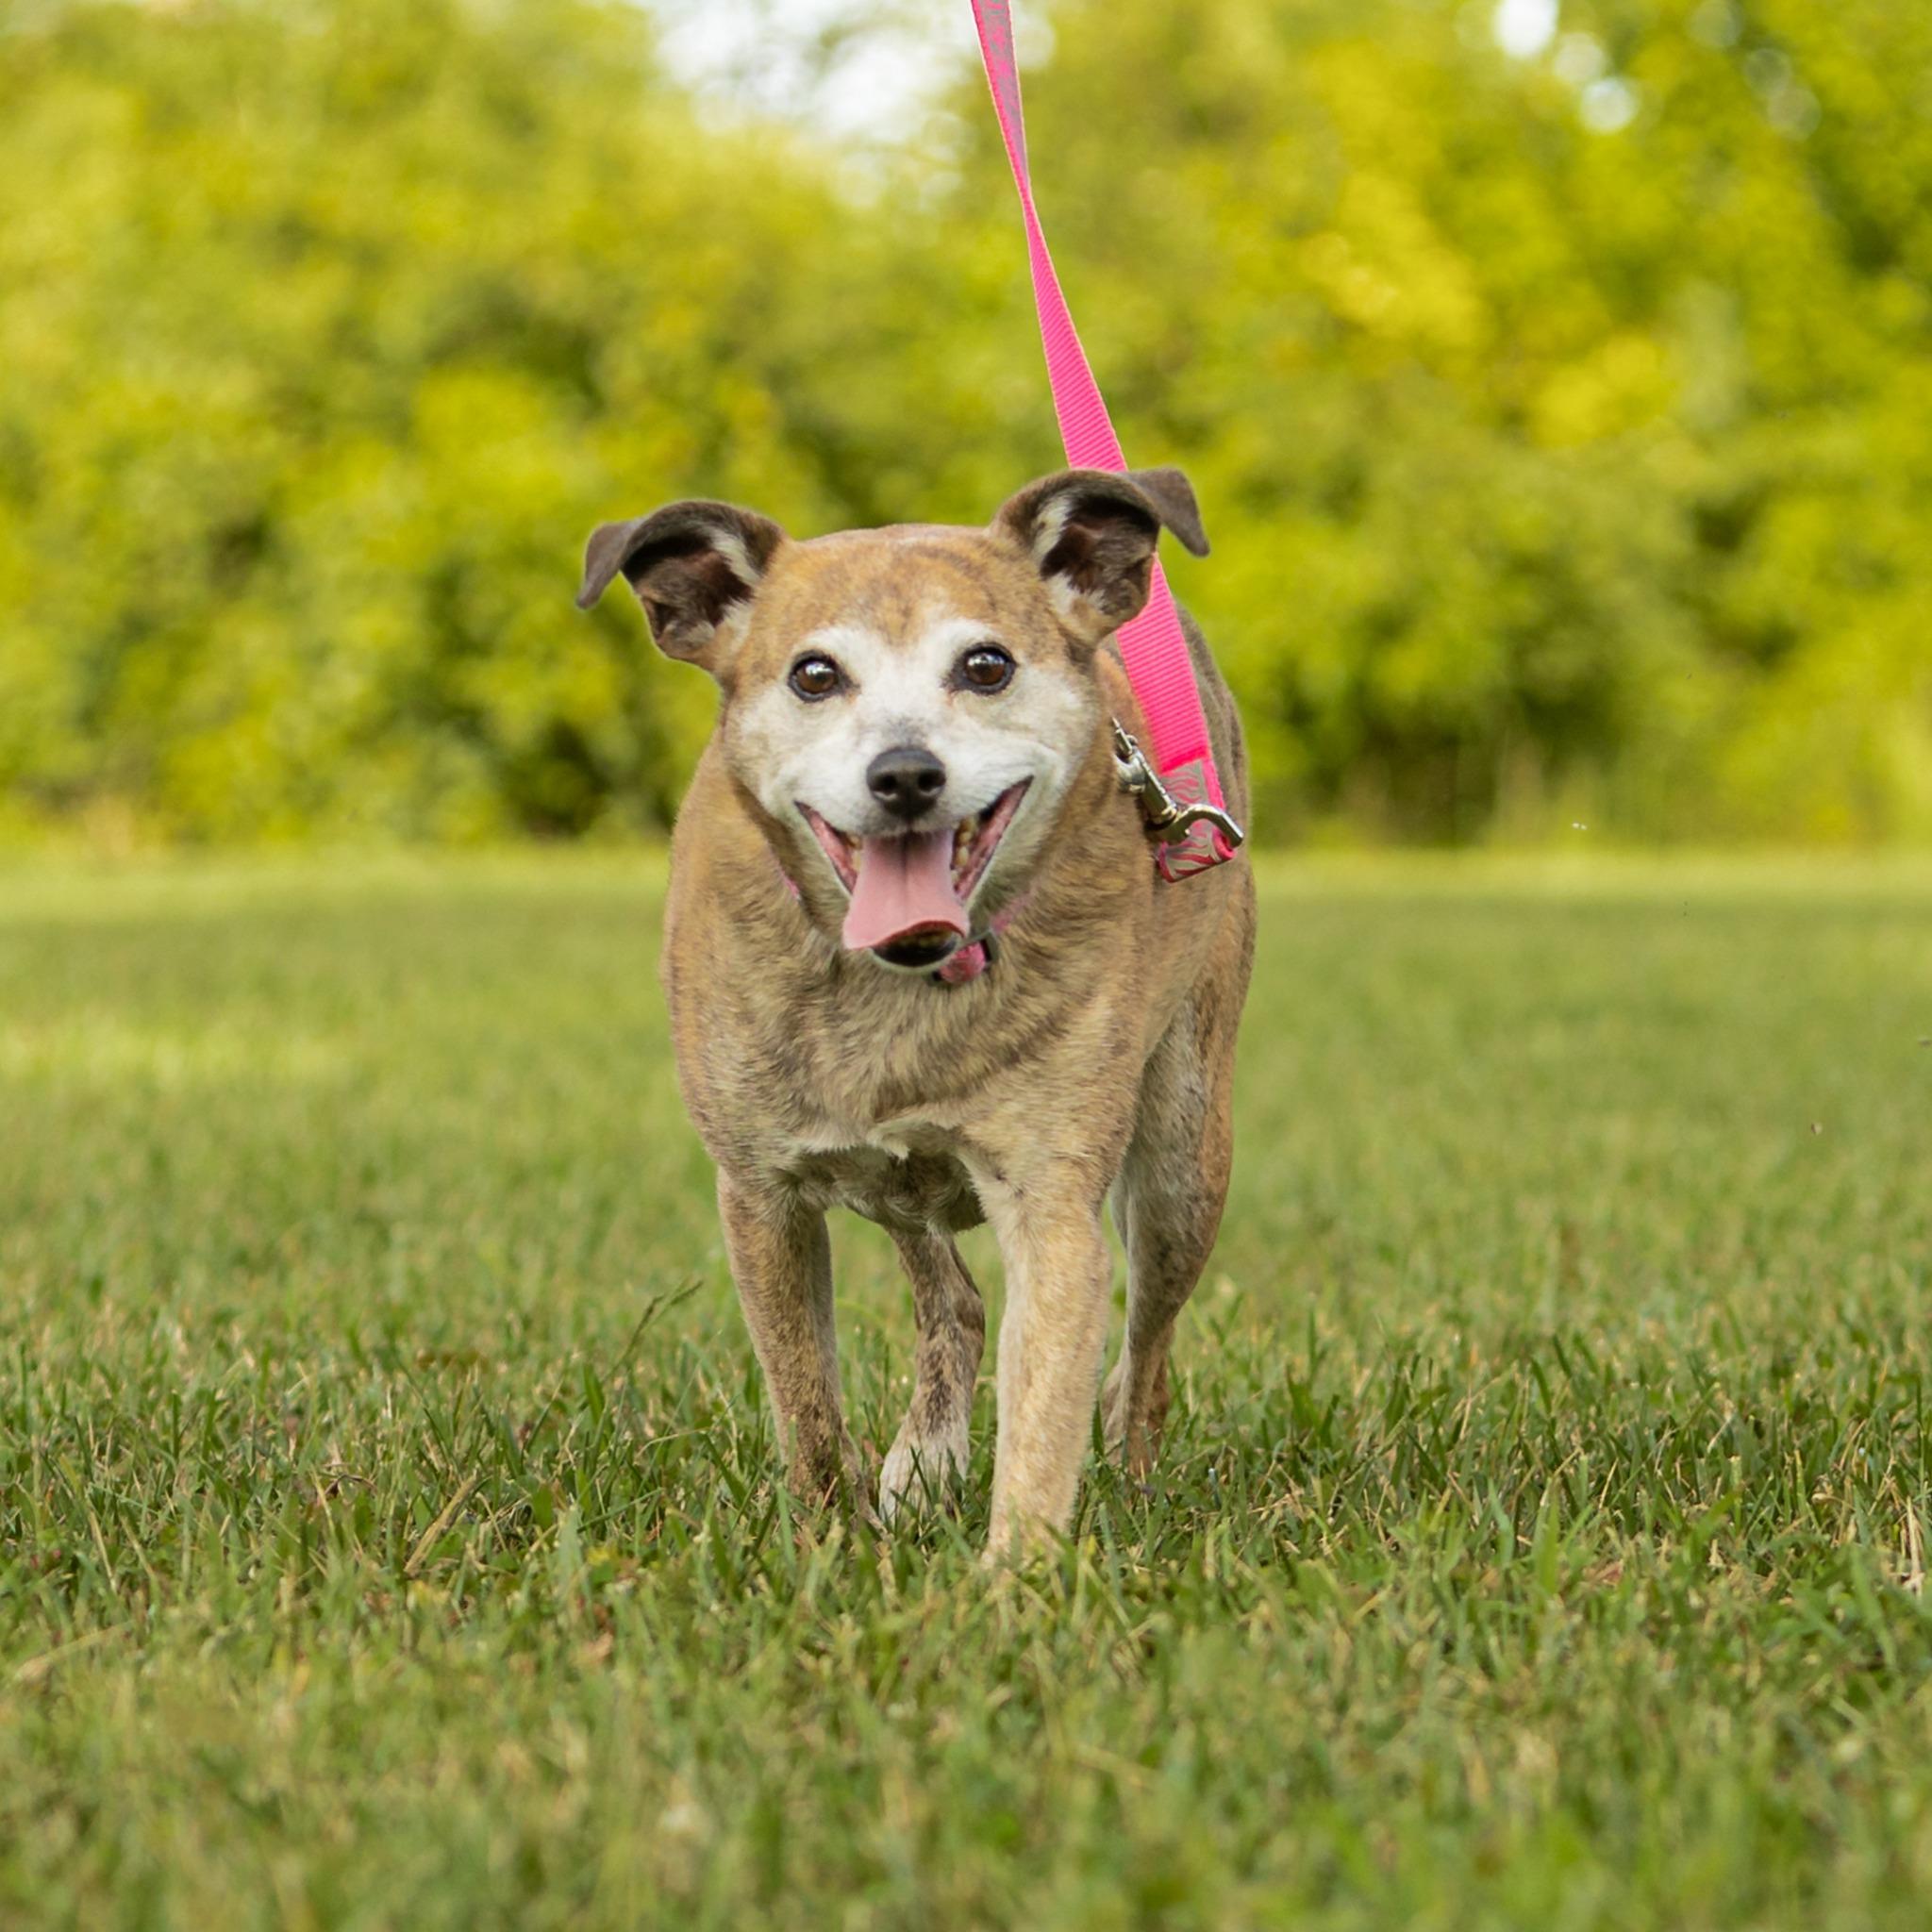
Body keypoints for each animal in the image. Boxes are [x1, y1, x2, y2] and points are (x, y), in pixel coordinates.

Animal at [575, 467, 1252, 1553]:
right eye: (814, 675)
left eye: (985, 665)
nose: (903, 774)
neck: (901, 982)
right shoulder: (760, 1195)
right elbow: (806, 1403)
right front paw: (826, 1547)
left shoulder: (1053, 1206)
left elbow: (1043, 1420)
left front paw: (1016, 1576)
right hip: (890, 1183)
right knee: (956, 1301)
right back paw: (925, 1463)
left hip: (1184, 1160)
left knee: (1141, 1360)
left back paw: (1130, 1474)